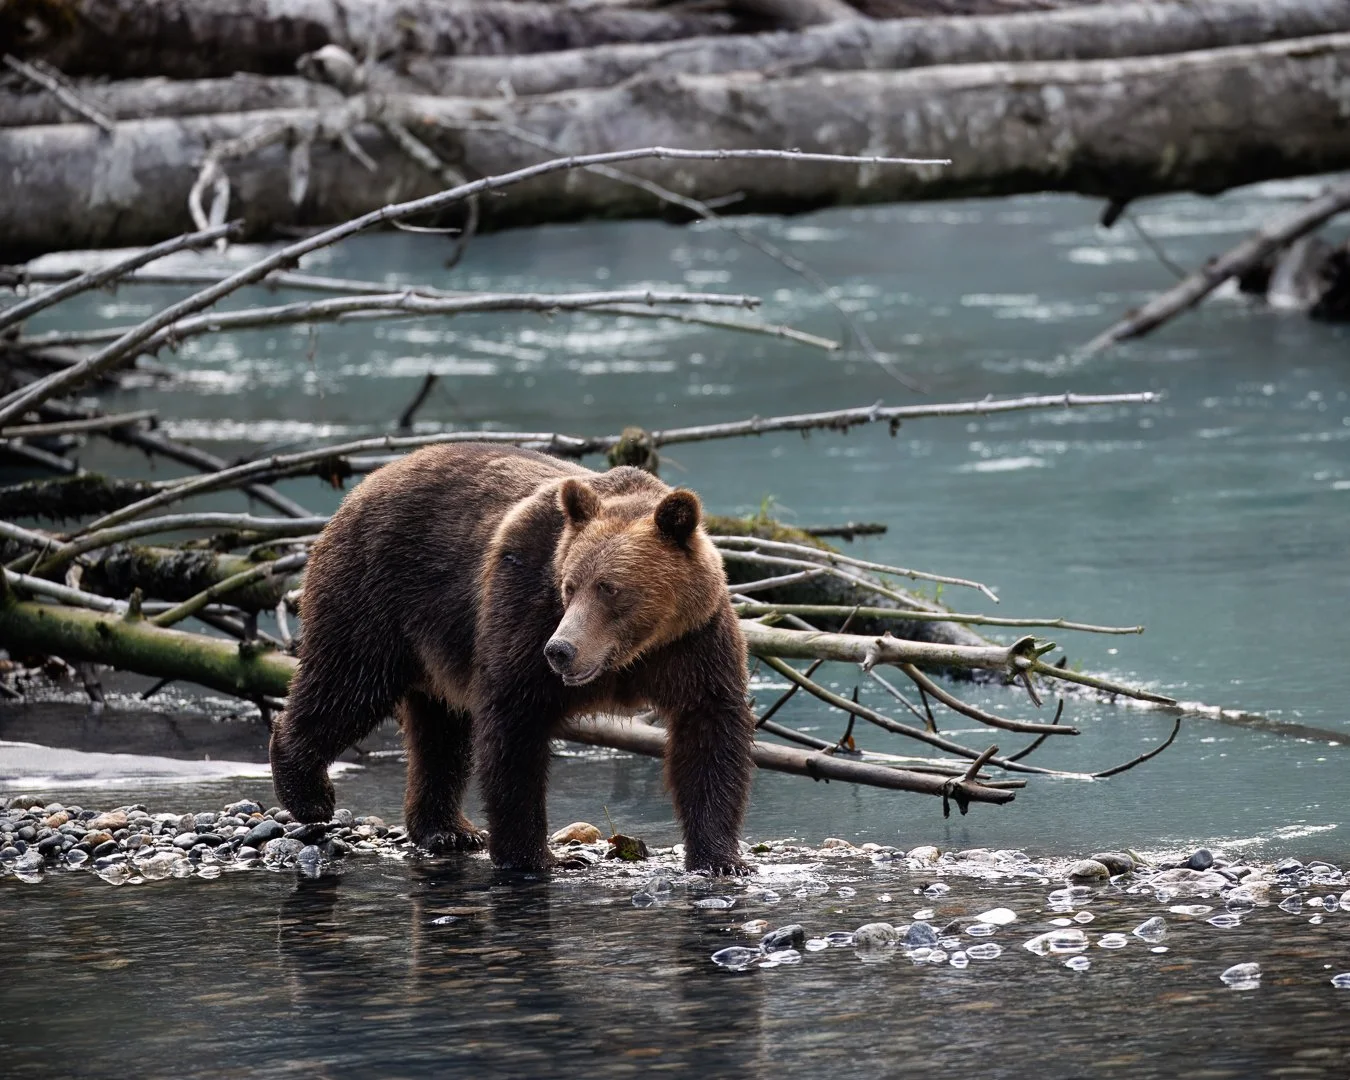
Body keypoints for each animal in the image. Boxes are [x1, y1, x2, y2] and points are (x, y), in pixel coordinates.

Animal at [269, 442, 755, 874]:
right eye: (570, 585)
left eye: (610, 588)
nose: (560, 651)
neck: (633, 654)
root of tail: (367, 483)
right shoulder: (524, 610)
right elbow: (513, 728)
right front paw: (534, 856)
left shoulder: (693, 643)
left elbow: (710, 734)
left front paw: (720, 858)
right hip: (376, 594)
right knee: (347, 683)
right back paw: (309, 791)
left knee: (440, 732)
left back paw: (448, 829)